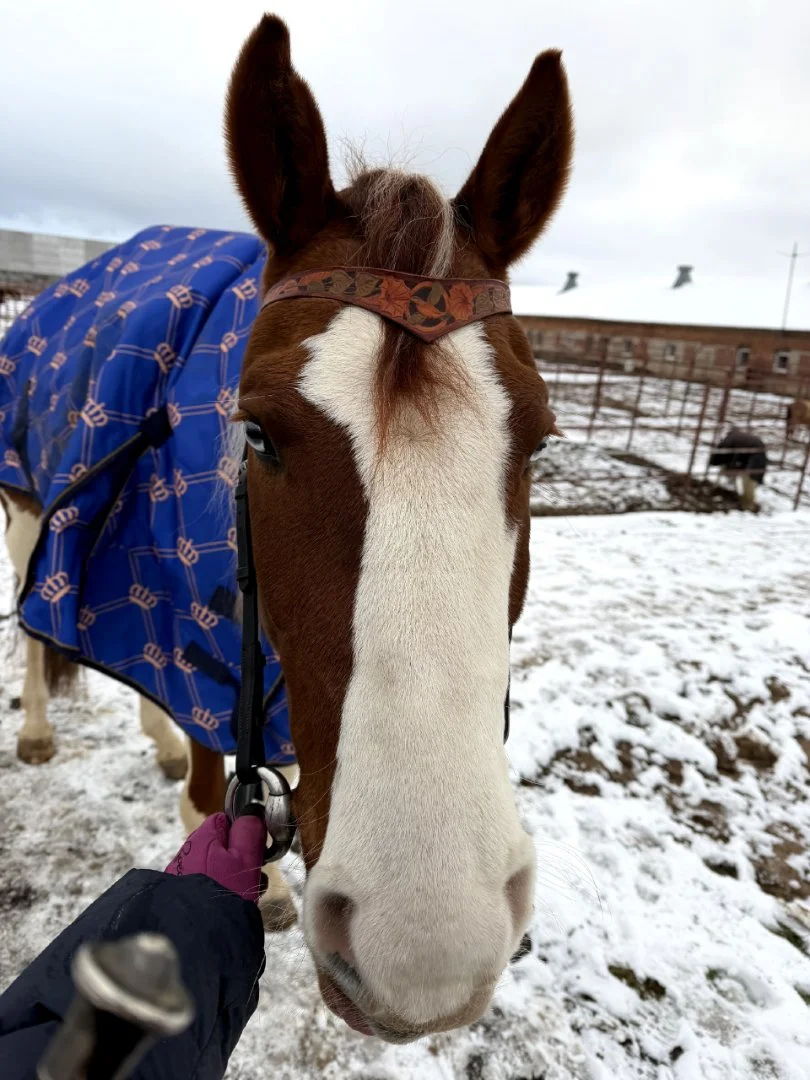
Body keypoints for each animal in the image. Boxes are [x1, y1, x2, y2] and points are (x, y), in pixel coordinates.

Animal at [2, 13, 572, 1040]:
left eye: (542, 442)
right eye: (258, 433)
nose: (423, 944)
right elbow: (206, 794)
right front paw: (246, 871)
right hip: (31, 500)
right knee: (35, 616)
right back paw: (37, 728)